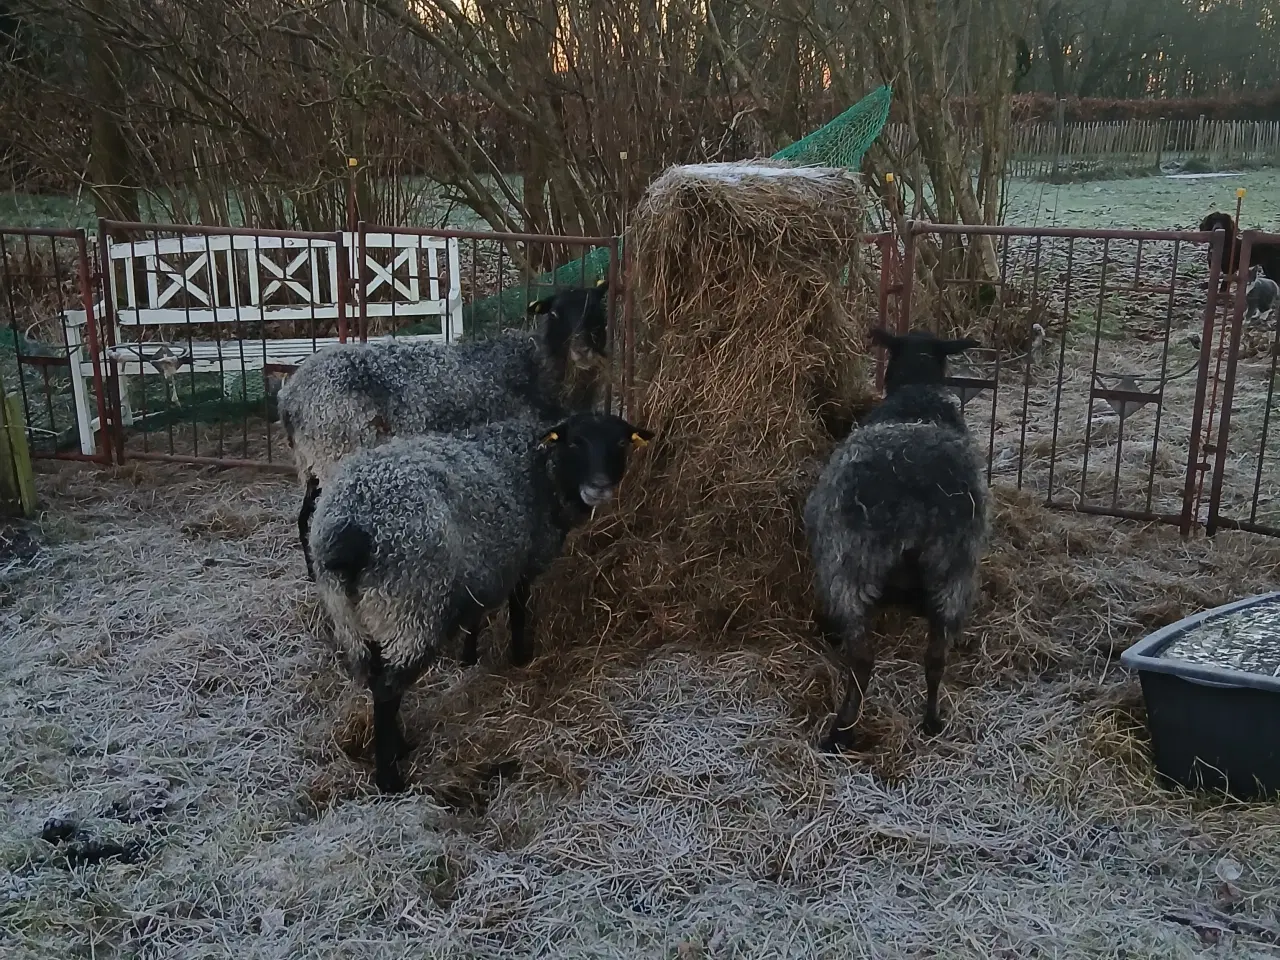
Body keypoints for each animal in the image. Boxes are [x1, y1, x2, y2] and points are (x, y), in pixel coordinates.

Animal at [279, 281, 614, 583]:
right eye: (555, 314)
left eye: (597, 311)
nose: (583, 350)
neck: (535, 367)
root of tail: (291, 397)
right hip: (336, 450)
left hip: (313, 462)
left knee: (304, 516)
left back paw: (312, 574)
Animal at [307, 409, 650, 793]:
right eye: (575, 442)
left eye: (621, 442)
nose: (599, 487)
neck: (542, 469)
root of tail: (351, 529)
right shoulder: (518, 562)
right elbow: (518, 611)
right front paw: (520, 658)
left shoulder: (483, 566)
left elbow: (476, 615)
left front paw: (469, 657)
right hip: (410, 606)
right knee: (386, 692)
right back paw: (390, 778)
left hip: (352, 615)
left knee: (376, 676)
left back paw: (400, 746)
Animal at [798, 330, 988, 752]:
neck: (917, 395)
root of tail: (916, 505)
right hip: (952, 573)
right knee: (935, 658)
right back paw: (932, 720)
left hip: (850, 570)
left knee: (862, 660)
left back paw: (840, 731)